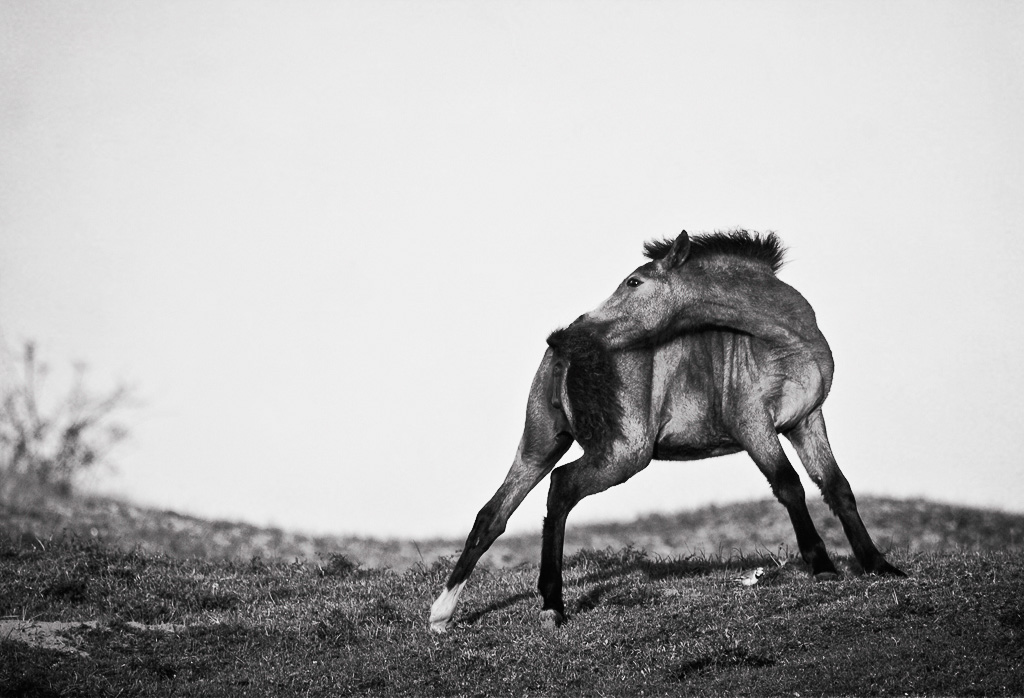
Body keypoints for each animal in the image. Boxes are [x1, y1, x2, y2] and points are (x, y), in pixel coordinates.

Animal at [429, 229, 905, 633]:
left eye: (634, 281)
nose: (574, 329)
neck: (785, 341)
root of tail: (566, 353)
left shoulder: (807, 421)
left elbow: (837, 487)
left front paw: (879, 565)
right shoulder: (753, 423)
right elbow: (790, 486)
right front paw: (822, 566)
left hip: (541, 445)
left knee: (494, 514)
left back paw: (443, 613)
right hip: (624, 453)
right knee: (560, 488)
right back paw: (551, 605)